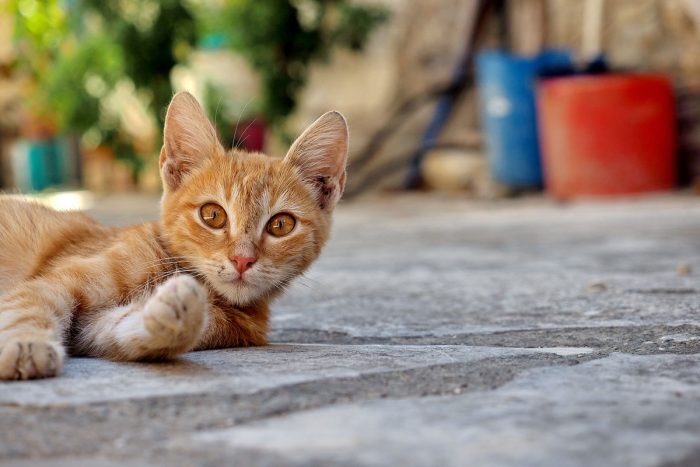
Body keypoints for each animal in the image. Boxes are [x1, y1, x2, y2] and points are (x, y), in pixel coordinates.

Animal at [0, 91, 348, 380]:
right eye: (213, 215)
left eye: (280, 225)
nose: (242, 259)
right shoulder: (54, 282)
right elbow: (28, 307)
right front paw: (26, 345)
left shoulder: (91, 330)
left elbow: (127, 332)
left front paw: (176, 312)